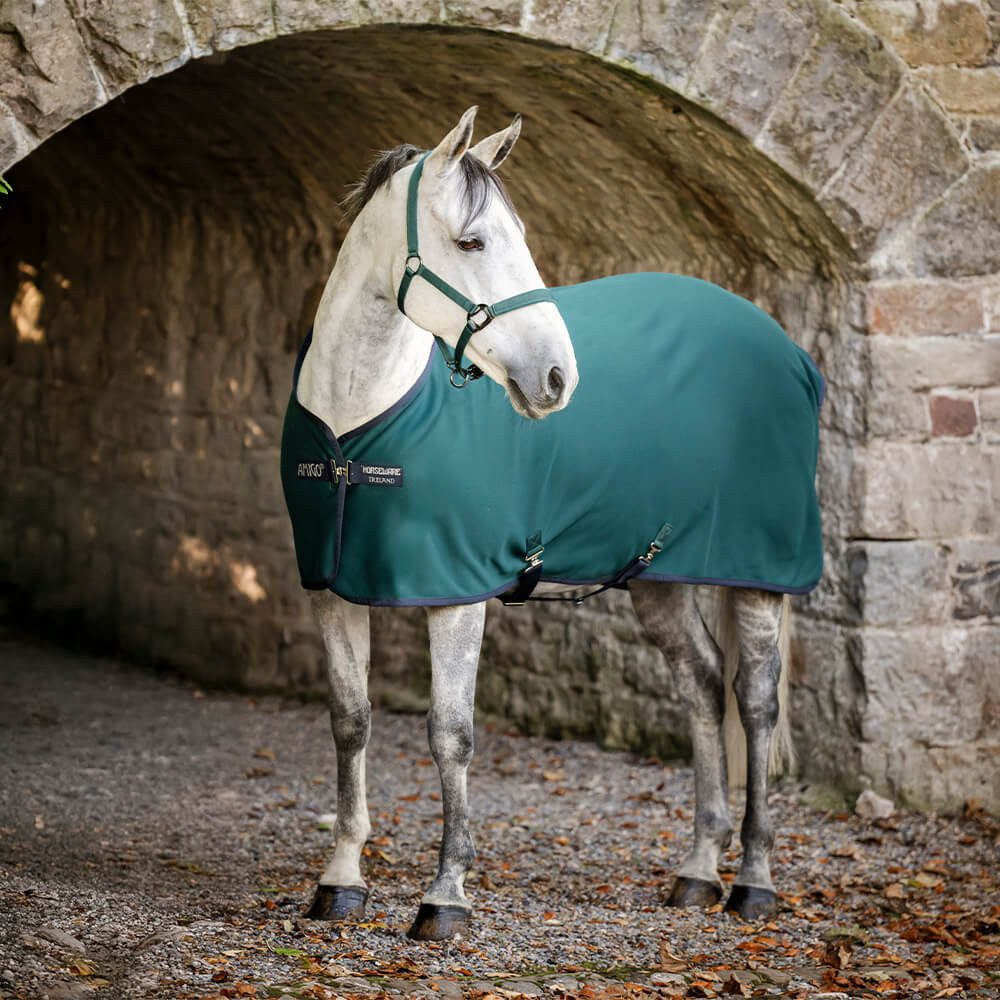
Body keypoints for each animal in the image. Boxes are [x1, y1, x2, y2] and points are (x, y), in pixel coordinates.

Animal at [283, 107, 823, 941]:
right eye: (473, 242)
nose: (557, 379)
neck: (358, 422)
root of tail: (787, 350)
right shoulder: (332, 589)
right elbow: (350, 723)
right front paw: (340, 880)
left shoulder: (456, 595)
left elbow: (451, 734)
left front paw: (446, 896)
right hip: (659, 576)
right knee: (702, 686)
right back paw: (698, 871)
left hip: (759, 576)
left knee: (755, 702)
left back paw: (754, 883)